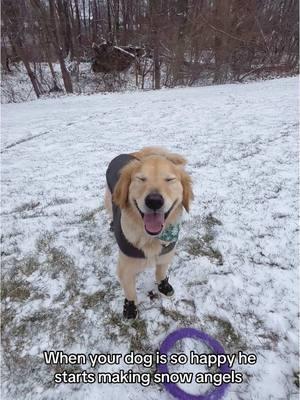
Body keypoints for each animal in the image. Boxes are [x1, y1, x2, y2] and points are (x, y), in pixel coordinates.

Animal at [105, 147, 193, 318]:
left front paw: (164, 286)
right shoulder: (125, 269)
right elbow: (130, 292)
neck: (151, 238)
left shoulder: (165, 255)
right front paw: (130, 309)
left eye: (169, 179)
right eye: (141, 179)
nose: (154, 201)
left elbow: (161, 273)